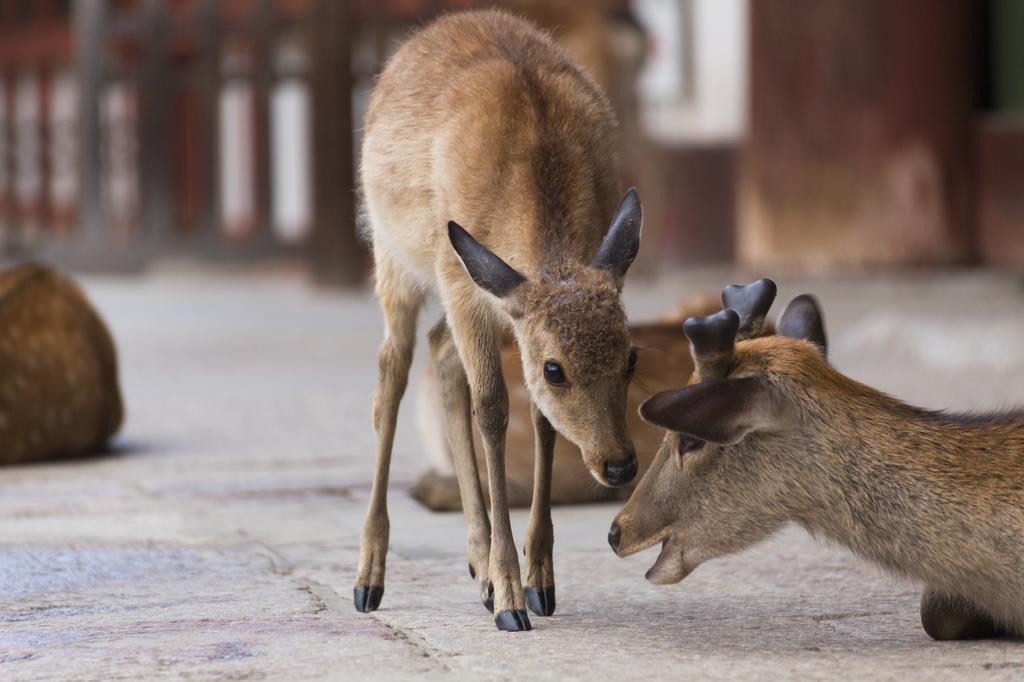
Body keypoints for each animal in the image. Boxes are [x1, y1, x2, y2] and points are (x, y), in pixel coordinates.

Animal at [352, 9, 638, 630]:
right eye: (556, 369)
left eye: (631, 357)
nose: (621, 465)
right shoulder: (462, 281)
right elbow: (492, 409)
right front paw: (511, 597)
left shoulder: (501, 304)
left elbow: (539, 420)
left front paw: (539, 582)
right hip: (394, 256)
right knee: (392, 372)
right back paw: (369, 579)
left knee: (440, 352)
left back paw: (477, 566)